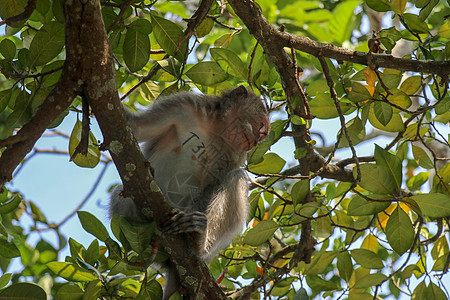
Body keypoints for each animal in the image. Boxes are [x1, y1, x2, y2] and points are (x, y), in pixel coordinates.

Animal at [109, 85, 268, 298]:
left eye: (264, 132)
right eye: (261, 125)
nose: (259, 139)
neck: (215, 129)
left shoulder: (235, 153)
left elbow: (214, 185)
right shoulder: (183, 105)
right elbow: (134, 127)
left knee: (236, 178)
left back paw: (198, 241)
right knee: (123, 193)